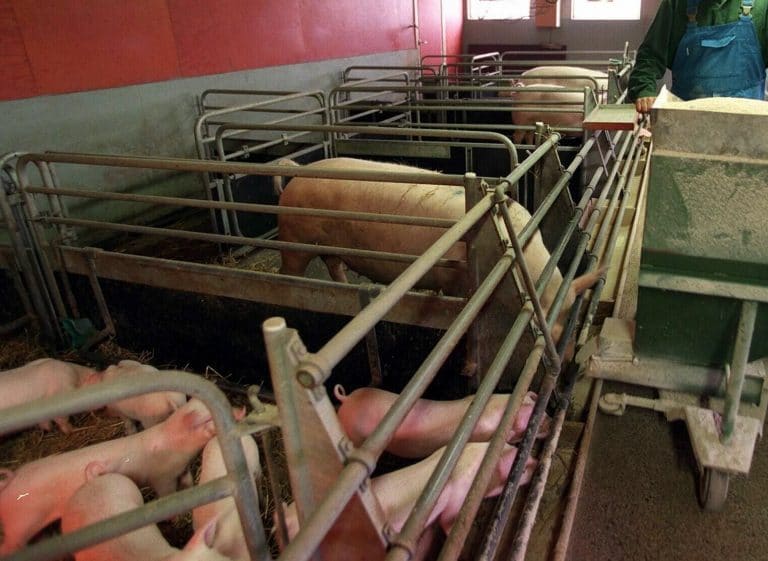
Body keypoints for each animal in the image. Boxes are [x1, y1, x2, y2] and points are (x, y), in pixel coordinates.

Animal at [0, 398, 219, 555]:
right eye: (209, 419)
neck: (175, 444)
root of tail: (11, 481)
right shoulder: (161, 477)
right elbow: (167, 495)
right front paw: (174, 517)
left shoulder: (182, 469)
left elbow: (188, 482)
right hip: (21, 524)